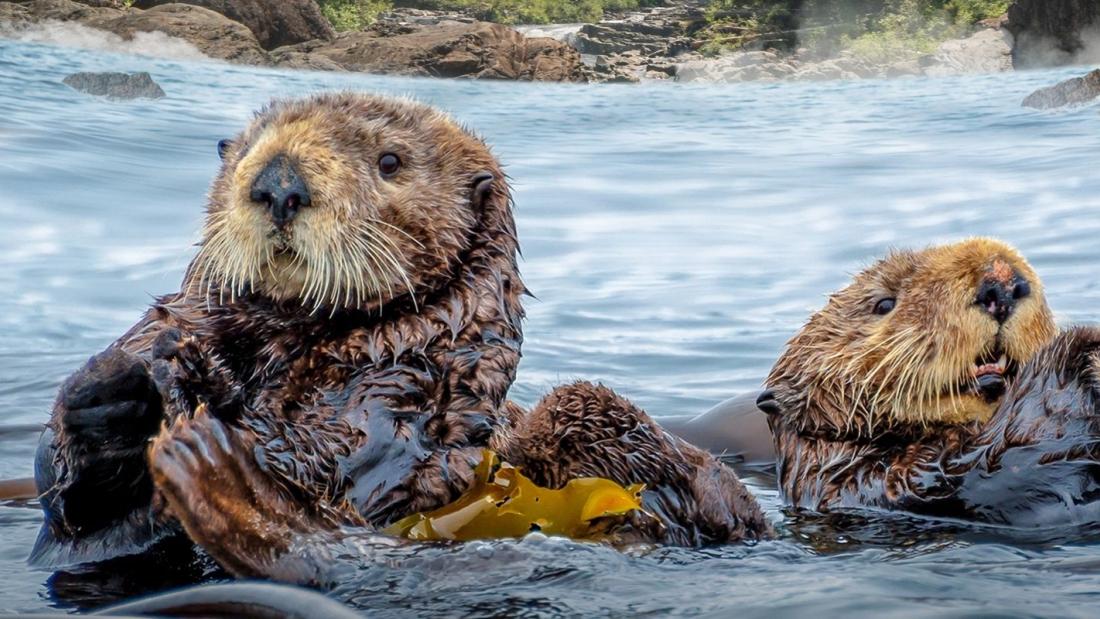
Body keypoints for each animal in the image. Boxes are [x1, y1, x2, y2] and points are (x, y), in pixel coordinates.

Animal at [33, 93, 769, 578]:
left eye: (390, 161)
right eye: (243, 150)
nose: (279, 183)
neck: (292, 338)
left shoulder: (400, 394)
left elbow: (330, 462)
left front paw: (203, 396)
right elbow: (72, 504)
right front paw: (115, 387)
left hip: (596, 421)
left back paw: (215, 474)